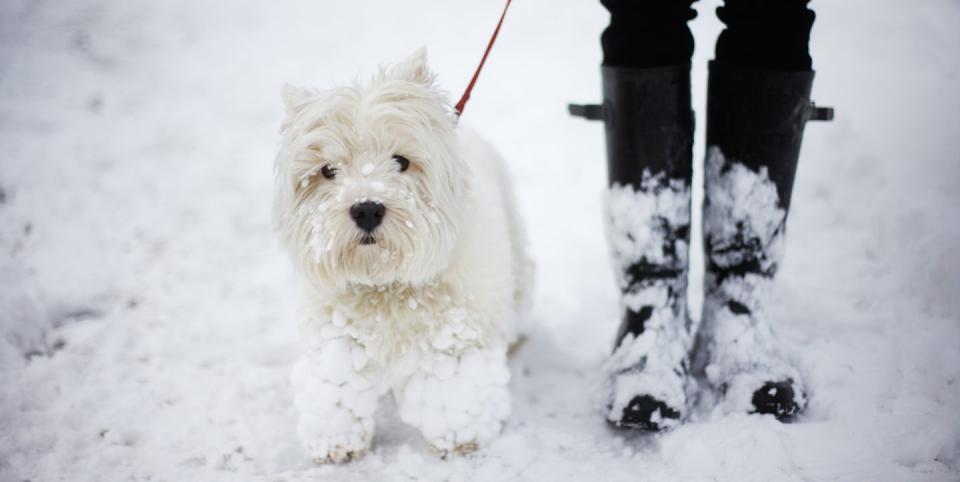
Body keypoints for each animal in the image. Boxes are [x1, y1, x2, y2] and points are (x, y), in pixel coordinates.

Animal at [272, 49, 532, 464]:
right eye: (328, 170)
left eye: (402, 161)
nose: (366, 209)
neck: (385, 285)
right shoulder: (335, 334)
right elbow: (335, 388)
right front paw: (334, 441)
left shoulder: (452, 334)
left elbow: (454, 389)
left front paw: (459, 437)